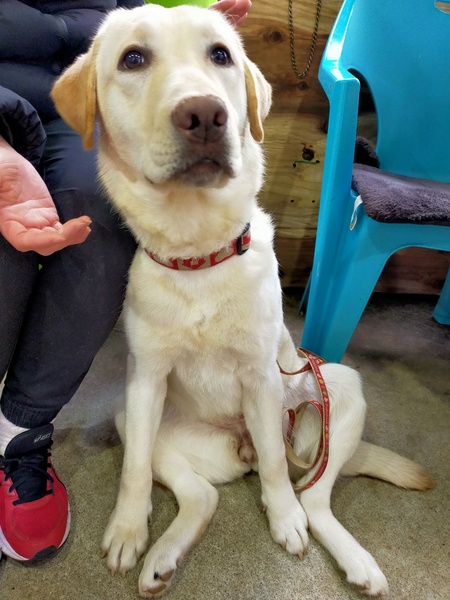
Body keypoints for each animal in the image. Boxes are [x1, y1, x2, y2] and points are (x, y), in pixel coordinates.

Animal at [51, 4, 433, 598]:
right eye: (132, 58)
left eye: (221, 54)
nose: (205, 114)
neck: (200, 254)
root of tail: (238, 448)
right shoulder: (145, 383)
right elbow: (133, 471)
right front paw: (127, 528)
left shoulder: (261, 377)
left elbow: (277, 467)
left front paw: (282, 519)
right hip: (131, 416)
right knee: (202, 494)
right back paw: (161, 558)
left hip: (338, 387)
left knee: (309, 493)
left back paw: (352, 558)